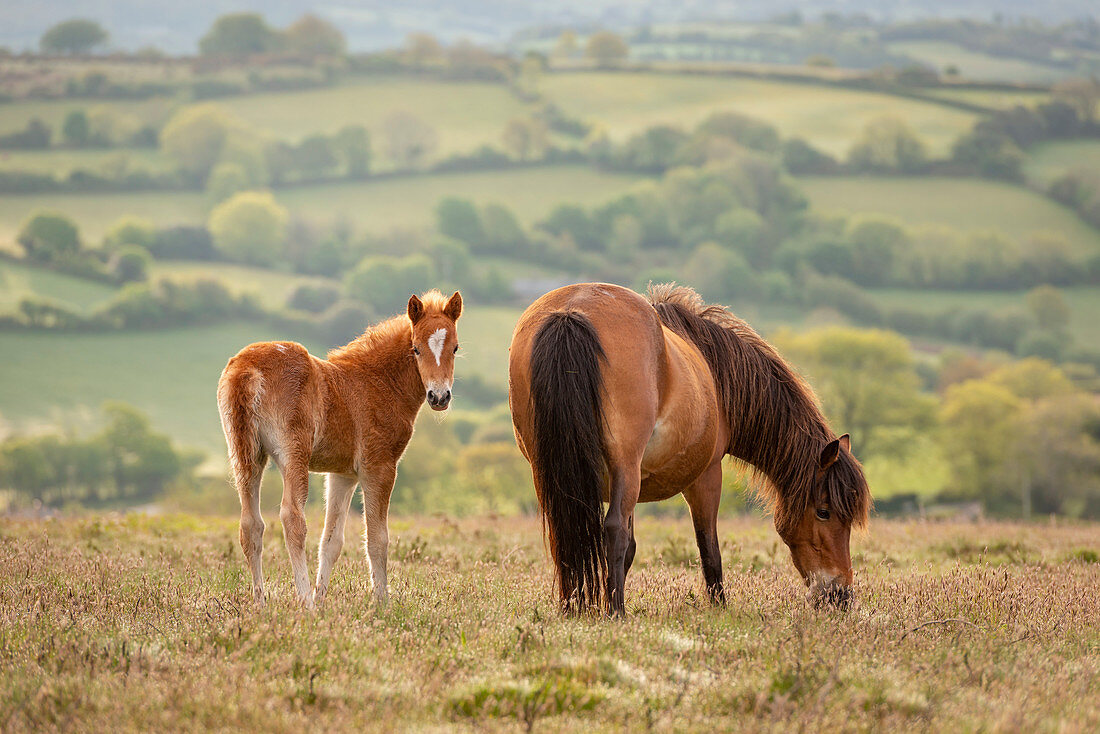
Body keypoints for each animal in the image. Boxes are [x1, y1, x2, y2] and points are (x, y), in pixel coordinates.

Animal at [216, 290, 462, 607]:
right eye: (416, 349)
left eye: (455, 348)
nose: (439, 397)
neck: (377, 382)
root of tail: (247, 369)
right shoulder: (378, 467)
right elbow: (377, 538)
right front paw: (382, 604)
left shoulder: (342, 475)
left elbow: (331, 541)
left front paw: (323, 601)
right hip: (293, 453)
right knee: (292, 518)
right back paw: (304, 602)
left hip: (246, 455)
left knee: (250, 525)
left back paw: (261, 603)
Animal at [510, 283, 871, 616]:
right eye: (823, 512)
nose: (840, 596)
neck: (716, 374)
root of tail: (572, 311)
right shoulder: (706, 476)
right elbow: (708, 548)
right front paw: (720, 609)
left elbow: (630, 550)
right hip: (625, 466)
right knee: (612, 530)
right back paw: (617, 612)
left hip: (554, 470)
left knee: (564, 530)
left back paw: (571, 607)